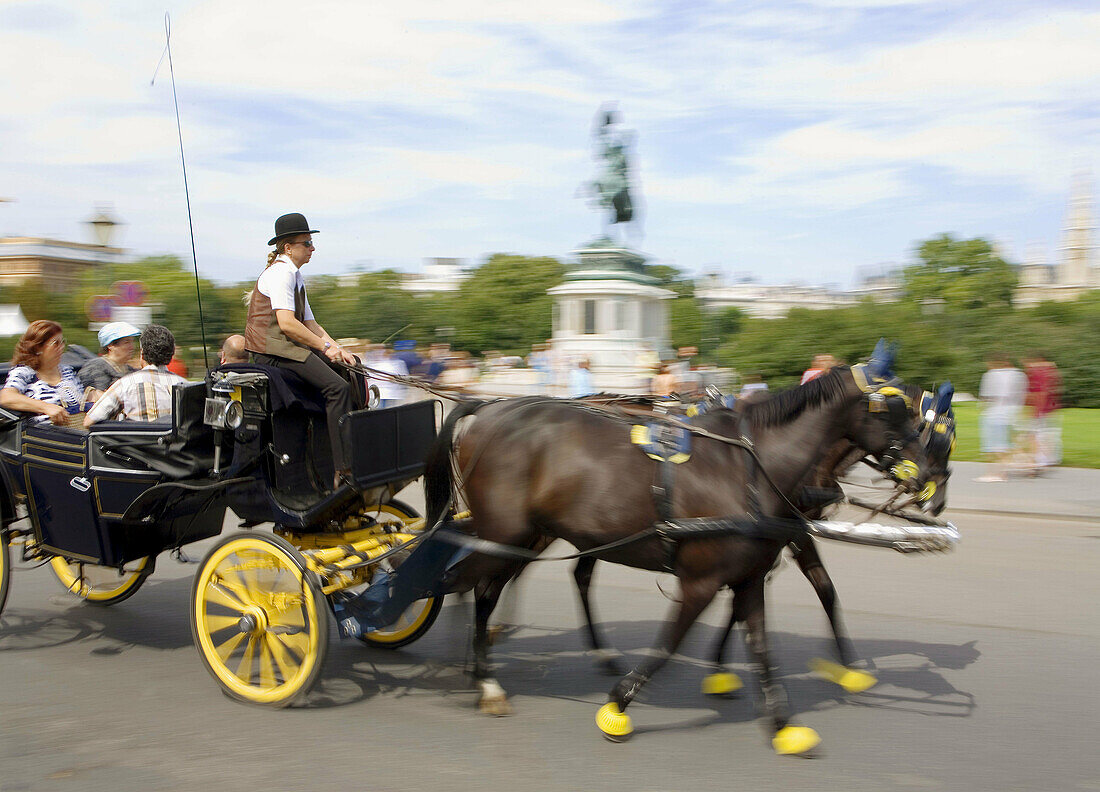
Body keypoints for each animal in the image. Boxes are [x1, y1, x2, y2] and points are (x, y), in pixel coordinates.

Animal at [424, 360, 932, 756]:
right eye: (893, 410)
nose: (927, 476)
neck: (750, 469)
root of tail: (488, 409)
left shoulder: (750, 575)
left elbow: (763, 646)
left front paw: (784, 725)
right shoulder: (701, 579)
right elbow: (668, 645)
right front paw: (618, 705)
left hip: (527, 534)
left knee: (493, 585)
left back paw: (482, 663)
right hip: (508, 532)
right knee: (474, 586)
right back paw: (484, 675)